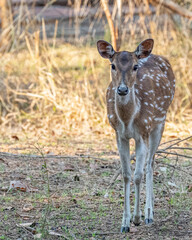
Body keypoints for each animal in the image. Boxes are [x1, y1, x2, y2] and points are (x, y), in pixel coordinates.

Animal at [97, 39, 175, 232]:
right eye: (113, 65)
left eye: (134, 66)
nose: (122, 89)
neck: (128, 119)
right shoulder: (119, 135)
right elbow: (126, 174)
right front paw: (125, 223)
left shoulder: (143, 132)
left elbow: (138, 174)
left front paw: (137, 218)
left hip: (159, 123)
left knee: (150, 164)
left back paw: (149, 214)